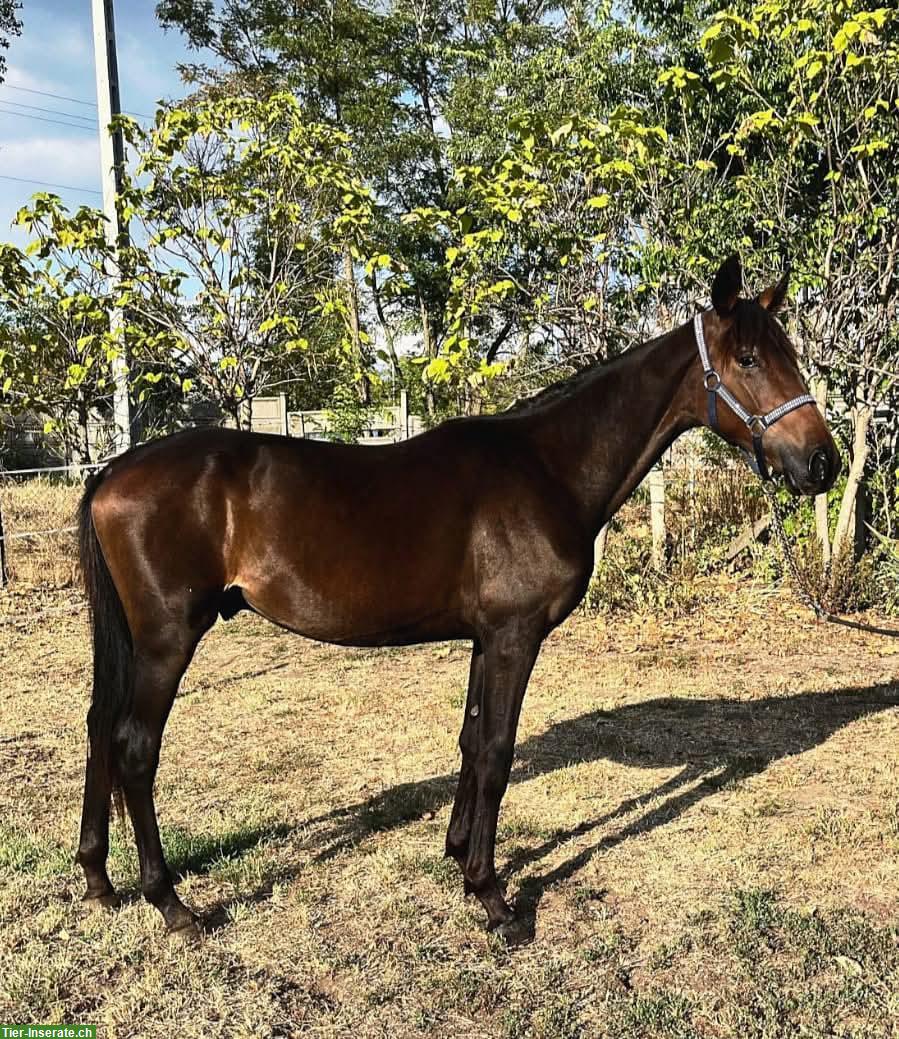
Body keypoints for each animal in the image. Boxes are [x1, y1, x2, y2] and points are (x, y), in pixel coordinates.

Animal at [76, 255, 839, 939]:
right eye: (747, 358)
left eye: (787, 353)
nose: (821, 462)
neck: (546, 467)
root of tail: (114, 467)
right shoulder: (513, 636)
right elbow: (497, 752)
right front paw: (492, 896)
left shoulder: (484, 638)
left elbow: (471, 741)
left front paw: (456, 857)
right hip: (169, 638)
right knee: (135, 747)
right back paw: (171, 904)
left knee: (99, 731)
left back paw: (99, 881)